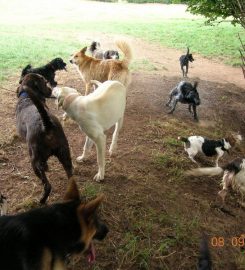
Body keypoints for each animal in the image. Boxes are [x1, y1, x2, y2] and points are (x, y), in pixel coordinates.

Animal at [15, 73, 73, 204]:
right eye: (45, 82)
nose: (51, 90)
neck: (26, 97)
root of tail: (46, 124)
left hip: (34, 161)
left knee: (47, 185)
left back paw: (42, 200)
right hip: (64, 153)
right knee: (71, 176)